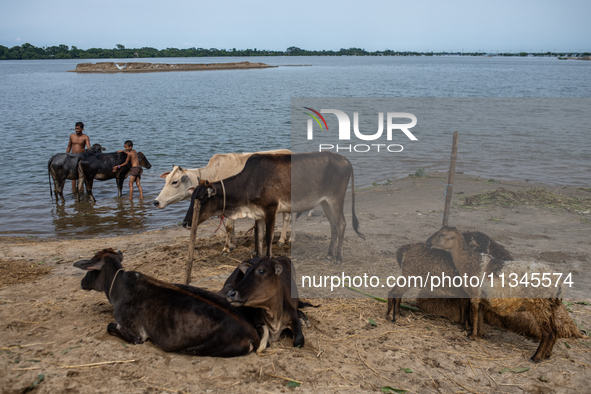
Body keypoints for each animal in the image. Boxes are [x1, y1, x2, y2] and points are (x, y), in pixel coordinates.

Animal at [73, 249, 260, 358]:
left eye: (91, 267)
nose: (82, 282)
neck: (118, 286)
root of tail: (253, 334)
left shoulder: (136, 334)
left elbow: (110, 326)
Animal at [153, 149, 292, 254]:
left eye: (174, 182)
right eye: (166, 180)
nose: (156, 202)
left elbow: (229, 226)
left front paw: (226, 248)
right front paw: (233, 245)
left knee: (289, 218)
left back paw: (287, 240)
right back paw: (282, 240)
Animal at [183, 151, 366, 264]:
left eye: (201, 199)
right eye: (191, 198)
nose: (185, 222)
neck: (250, 181)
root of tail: (344, 159)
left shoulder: (271, 209)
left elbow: (269, 237)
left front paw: (269, 258)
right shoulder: (258, 214)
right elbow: (258, 238)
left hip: (336, 199)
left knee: (341, 224)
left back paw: (338, 258)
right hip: (325, 202)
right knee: (333, 226)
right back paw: (328, 256)